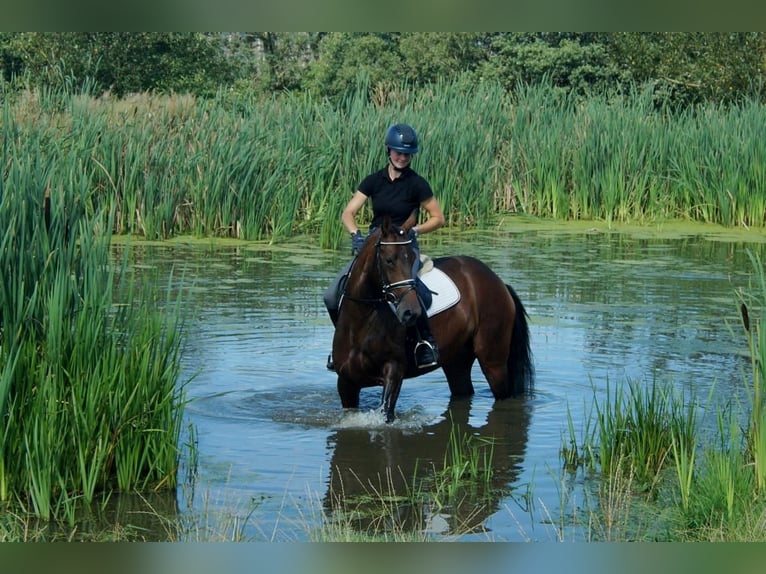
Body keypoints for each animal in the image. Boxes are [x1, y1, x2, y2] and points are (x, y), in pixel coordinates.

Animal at [330, 216, 536, 424]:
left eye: (413, 259)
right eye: (389, 260)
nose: (411, 312)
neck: (362, 322)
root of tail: (498, 282)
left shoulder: (393, 372)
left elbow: (387, 413)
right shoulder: (346, 382)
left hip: (494, 362)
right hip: (457, 361)